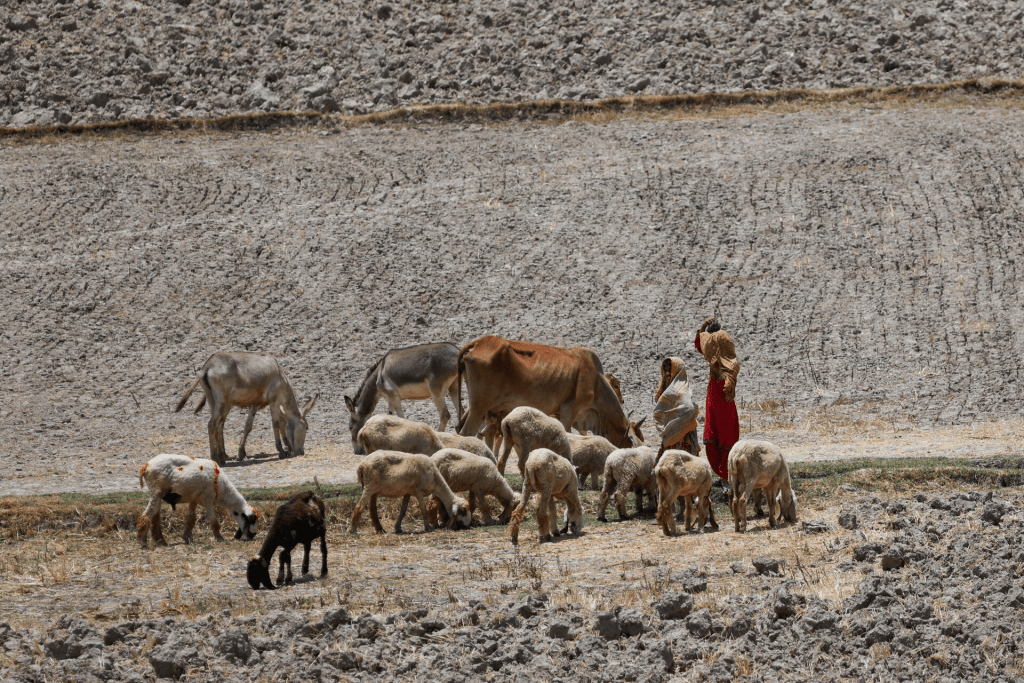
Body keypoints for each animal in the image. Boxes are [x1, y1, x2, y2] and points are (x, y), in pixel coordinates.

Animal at [456, 335, 638, 448]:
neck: (596, 379)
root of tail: (477, 343)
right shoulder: (569, 410)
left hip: (477, 408)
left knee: (459, 428)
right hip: (479, 407)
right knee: (467, 432)